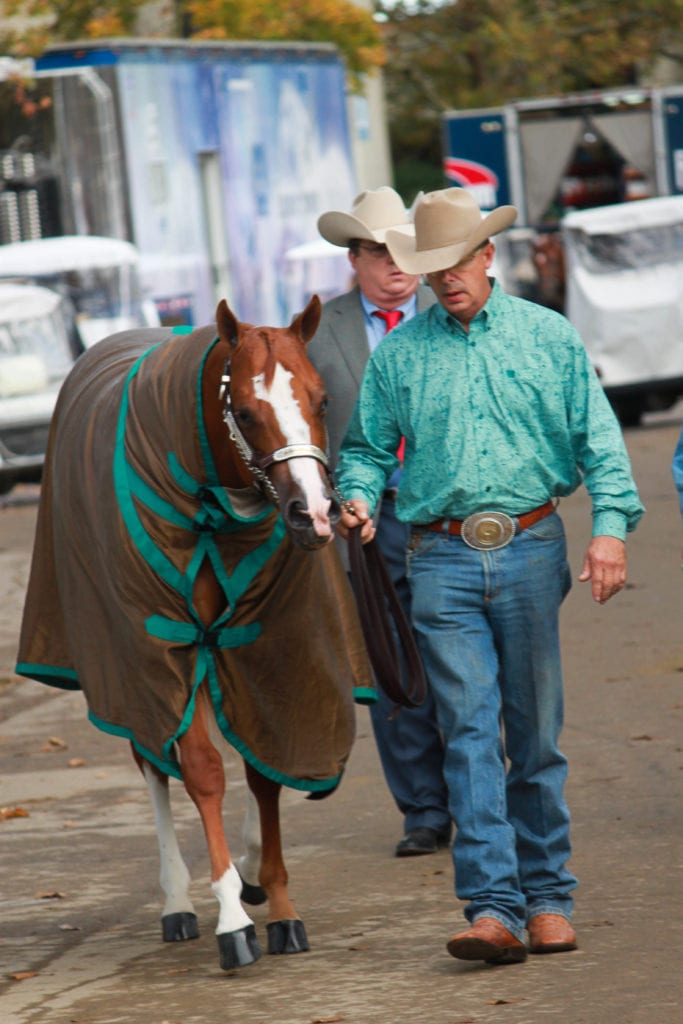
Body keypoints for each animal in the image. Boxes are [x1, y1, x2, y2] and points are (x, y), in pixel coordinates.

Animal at [14, 294, 374, 966]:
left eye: (322, 400)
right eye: (246, 413)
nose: (314, 514)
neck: (211, 506)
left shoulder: (259, 642)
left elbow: (265, 763)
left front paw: (278, 902)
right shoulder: (165, 645)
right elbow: (203, 768)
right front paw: (232, 916)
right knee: (152, 759)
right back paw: (179, 901)